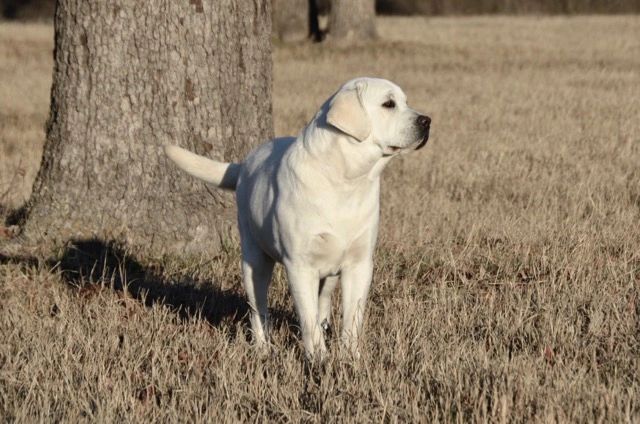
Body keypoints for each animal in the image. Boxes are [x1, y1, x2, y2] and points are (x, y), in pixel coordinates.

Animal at [166, 76, 430, 358]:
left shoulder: (359, 264)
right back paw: (263, 348)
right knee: (258, 309)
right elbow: (308, 319)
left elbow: (352, 319)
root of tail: (243, 165)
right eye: (388, 104)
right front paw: (319, 359)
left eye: (405, 101)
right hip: (254, 260)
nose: (427, 121)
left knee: (323, 301)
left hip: (329, 274)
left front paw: (351, 358)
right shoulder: (300, 266)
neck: (345, 179)